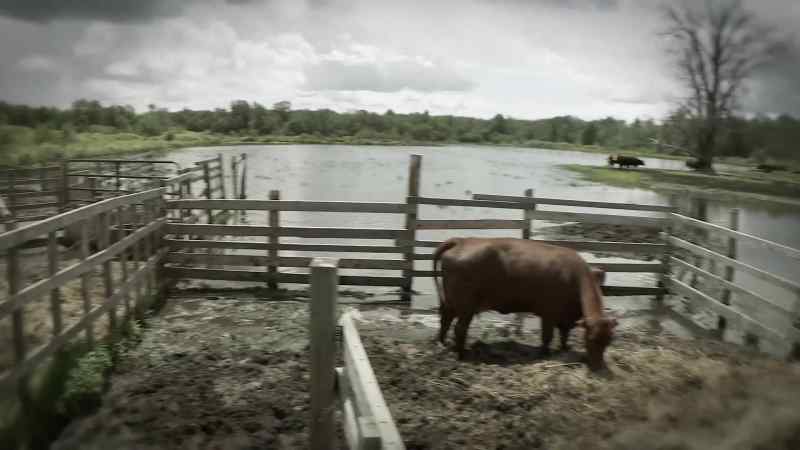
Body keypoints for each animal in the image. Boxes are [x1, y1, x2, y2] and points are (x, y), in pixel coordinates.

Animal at [433, 237, 617, 371]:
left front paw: (564, 348)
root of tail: (462, 240)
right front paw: (544, 354)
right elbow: (547, 336)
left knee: (445, 320)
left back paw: (442, 343)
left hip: (451, 302)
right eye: (591, 339)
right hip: (466, 306)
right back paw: (462, 355)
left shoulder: (566, 317)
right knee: (459, 329)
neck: (574, 277)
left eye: (609, 341)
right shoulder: (548, 313)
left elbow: (564, 334)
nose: (598, 367)